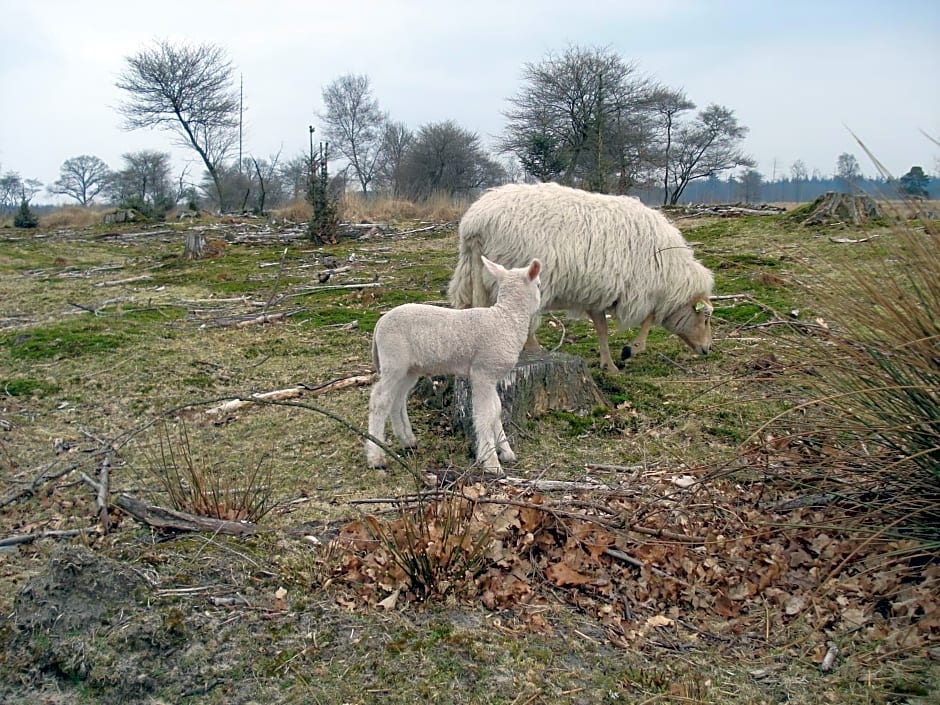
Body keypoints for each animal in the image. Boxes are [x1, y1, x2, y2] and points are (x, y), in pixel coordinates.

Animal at [368, 256, 544, 470]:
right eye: (539, 284)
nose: (541, 304)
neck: (506, 319)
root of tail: (380, 323)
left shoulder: (492, 376)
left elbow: (496, 410)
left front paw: (506, 451)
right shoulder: (483, 372)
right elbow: (485, 414)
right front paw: (491, 462)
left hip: (409, 369)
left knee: (397, 399)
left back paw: (407, 440)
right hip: (393, 360)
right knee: (380, 400)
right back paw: (375, 457)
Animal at [448, 182, 712, 374]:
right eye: (706, 317)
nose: (707, 349)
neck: (671, 274)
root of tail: (476, 222)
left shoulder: (600, 293)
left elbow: (602, 328)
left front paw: (610, 365)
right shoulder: (641, 290)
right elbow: (649, 318)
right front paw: (631, 350)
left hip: (470, 275)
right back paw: (534, 349)